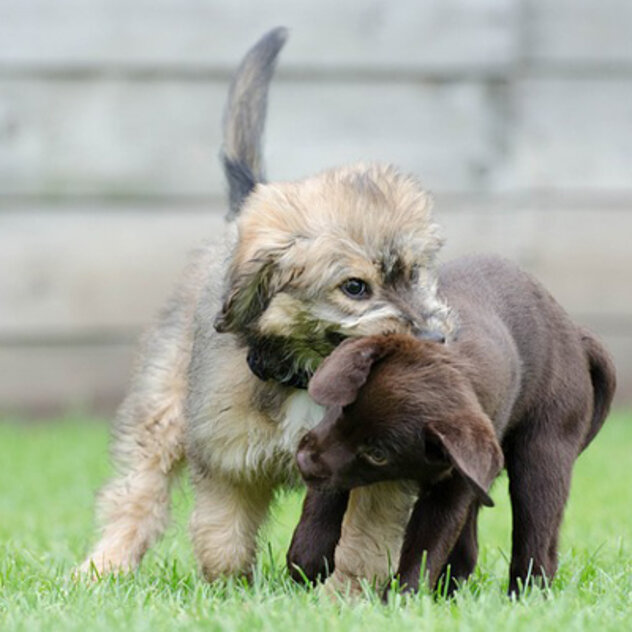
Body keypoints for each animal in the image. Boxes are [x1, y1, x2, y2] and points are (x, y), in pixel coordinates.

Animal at [80, 25, 454, 588]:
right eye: (355, 287)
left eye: (413, 273)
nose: (434, 340)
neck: (310, 375)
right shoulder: (227, 460)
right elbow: (222, 535)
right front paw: (231, 590)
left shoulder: (379, 470)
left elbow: (364, 542)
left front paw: (346, 594)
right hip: (162, 409)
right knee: (136, 493)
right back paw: (104, 566)